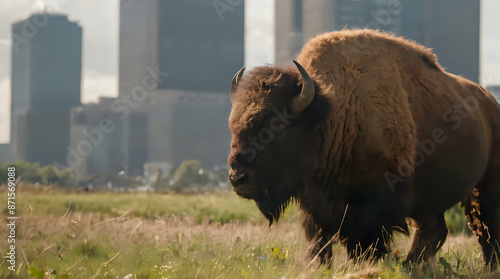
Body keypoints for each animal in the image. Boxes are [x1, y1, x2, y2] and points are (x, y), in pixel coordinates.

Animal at [229, 29, 500, 268]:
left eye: (276, 127)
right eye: (233, 126)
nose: (237, 178)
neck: (333, 115)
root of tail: (491, 103)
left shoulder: (374, 206)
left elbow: (365, 245)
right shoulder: (316, 204)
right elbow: (320, 241)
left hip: (483, 189)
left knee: (486, 230)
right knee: (435, 231)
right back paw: (413, 265)